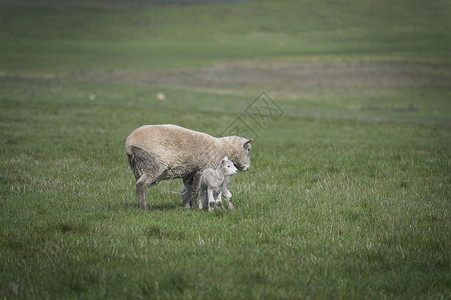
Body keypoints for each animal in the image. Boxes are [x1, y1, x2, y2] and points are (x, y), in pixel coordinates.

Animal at [126, 123, 254, 210]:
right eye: (248, 149)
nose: (248, 168)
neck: (222, 148)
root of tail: (129, 145)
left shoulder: (191, 172)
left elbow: (190, 189)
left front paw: (190, 207)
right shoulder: (202, 169)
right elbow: (196, 190)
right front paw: (196, 208)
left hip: (136, 167)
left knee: (139, 185)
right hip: (154, 165)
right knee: (141, 185)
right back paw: (143, 208)